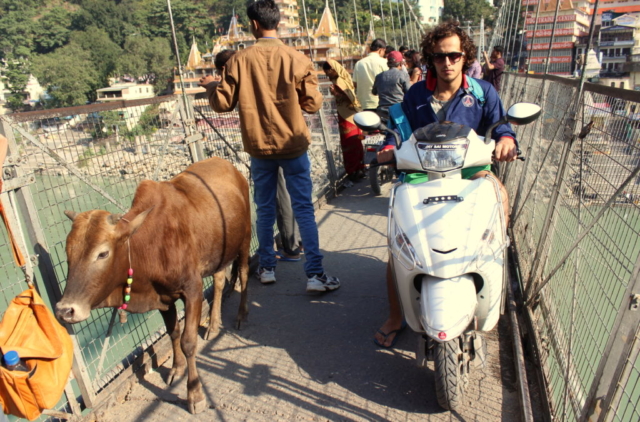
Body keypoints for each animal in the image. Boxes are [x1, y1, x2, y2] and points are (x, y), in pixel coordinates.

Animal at [55, 157, 251, 414]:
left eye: (103, 253)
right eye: (68, 254)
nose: (65, 310)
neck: (150, 244)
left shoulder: (192, 290)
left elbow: (188, 341)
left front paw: (195, 394)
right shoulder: (162, 298)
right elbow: (173, 332)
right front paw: (176, 368)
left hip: (245, 240)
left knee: (245, 275)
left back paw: (240, 316)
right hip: (219, 252)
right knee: (219, 281)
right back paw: (213, 325)